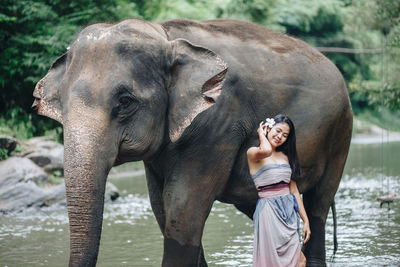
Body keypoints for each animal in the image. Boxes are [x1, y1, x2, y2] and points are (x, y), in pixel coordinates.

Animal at [33, 17, 354, 266]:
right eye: (61, 103)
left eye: (125, 101)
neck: (165, 35)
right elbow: (162, 209)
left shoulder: (217, 122)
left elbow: (184, 210)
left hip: (341, 133)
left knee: (317, 207)